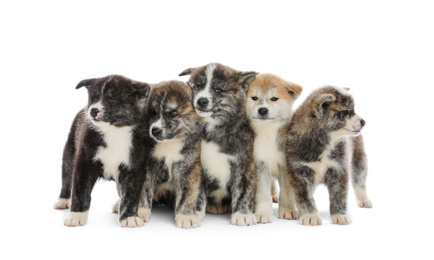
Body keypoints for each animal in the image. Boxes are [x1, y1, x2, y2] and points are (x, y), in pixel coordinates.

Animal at [140, 80, 206, 229]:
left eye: (172, 114)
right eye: (153, 112)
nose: (155, 130)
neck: (170, 143)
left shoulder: (188, 167)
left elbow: (188, 193)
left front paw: (186, 216)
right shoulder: (147, 165)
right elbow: (143, 189)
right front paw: (139, 210)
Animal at [179, 63, 260, 225]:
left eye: (218, 90)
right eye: (198, 86)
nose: (201, 101)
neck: (212, 129)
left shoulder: (245, 163)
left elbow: (244, 189)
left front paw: (243, 213)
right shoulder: (196, 164)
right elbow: (196, 191)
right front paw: (194, 212)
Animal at [246, 72, 304, 222]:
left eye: (274, 98)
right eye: (255, 98)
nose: (262, 110)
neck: (268, 134)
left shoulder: (285, 165)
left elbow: (286, 192)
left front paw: (288, 210)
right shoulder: (260, 164)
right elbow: (262, 193)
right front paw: (262, 213)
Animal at [284, 86, 372, 225]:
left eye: (353, 110)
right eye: (345, 112)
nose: (363, 121)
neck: (324, 141)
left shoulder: (339, 169)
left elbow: (339, 195)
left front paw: (340, 215)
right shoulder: (299, 171)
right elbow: (304, 197)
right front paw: (311, 215)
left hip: (359, 159)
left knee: (360, 180)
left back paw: (363, 199)